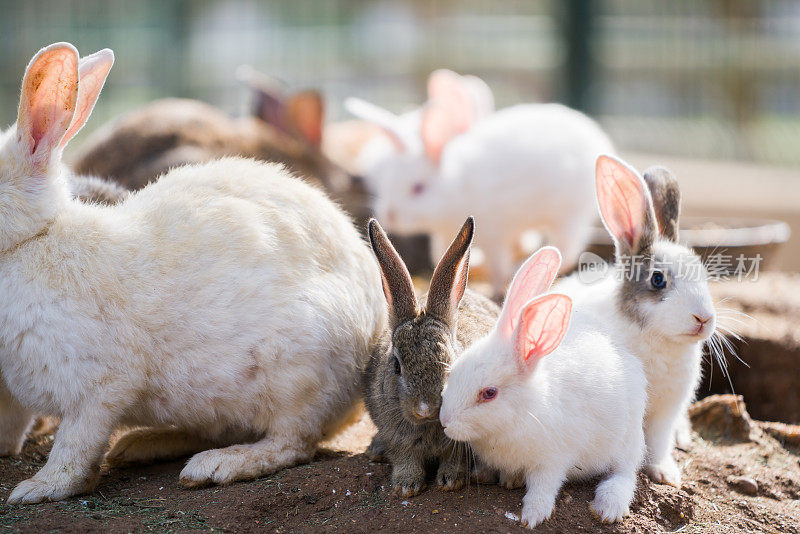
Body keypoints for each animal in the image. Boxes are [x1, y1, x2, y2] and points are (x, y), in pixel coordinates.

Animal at [0, 43, 388, 506]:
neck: (32, 240)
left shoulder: (99, 386)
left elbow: (75, 445)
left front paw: (37, 489)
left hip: (299, 373)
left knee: (292, 442)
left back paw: (217, 465)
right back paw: (141, 445)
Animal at [440, 248, 648, 532]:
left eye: (489, 393)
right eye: (454, 370)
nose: (444, 421)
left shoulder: (552, 460)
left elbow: (543, 487)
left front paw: (532, 517)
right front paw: (502, 478)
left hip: (626, 441)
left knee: (625, 473)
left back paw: (607, 508)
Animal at [556, 155, 720, 490]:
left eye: (702, 272)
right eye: (658, 280)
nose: (703, 318)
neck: (658, 340)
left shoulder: (666, 413)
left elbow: (658, 443)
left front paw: (666, 474)